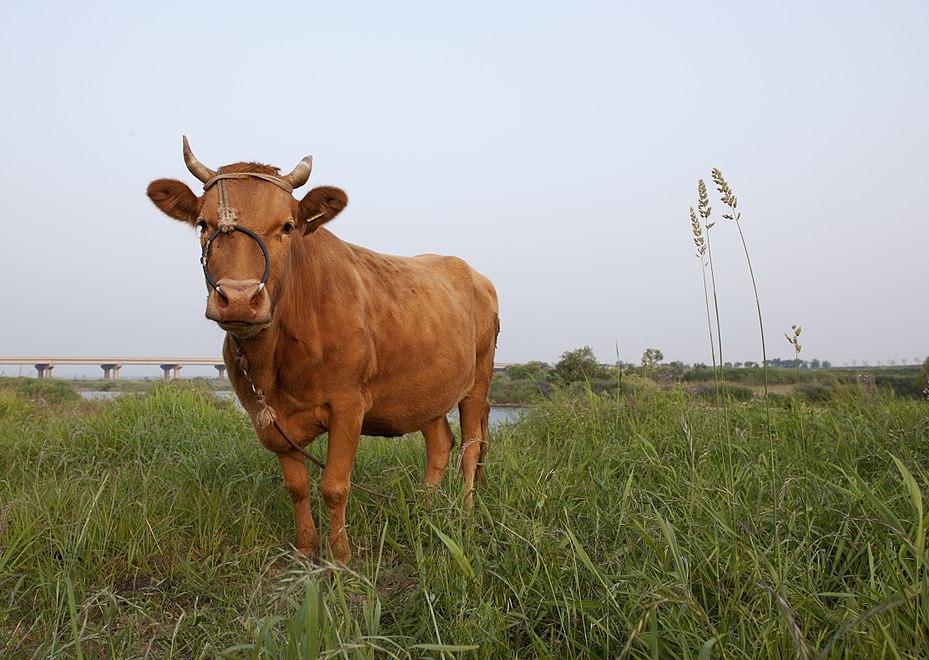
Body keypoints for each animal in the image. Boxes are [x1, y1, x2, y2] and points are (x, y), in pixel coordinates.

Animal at [147, 139, 500, 564]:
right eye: (203, 224)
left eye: (286, 226)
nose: (239, 299)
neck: (274, 361)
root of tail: (473, 274)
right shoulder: (267, 417)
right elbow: (297, 487)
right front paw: (305, 549)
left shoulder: (349, 403)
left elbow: (335, 486)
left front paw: (340, 558)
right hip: (427, 391)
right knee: (439, 446)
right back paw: (426, 510)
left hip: (478, 380)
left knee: (470, 448)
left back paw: (464, 512)